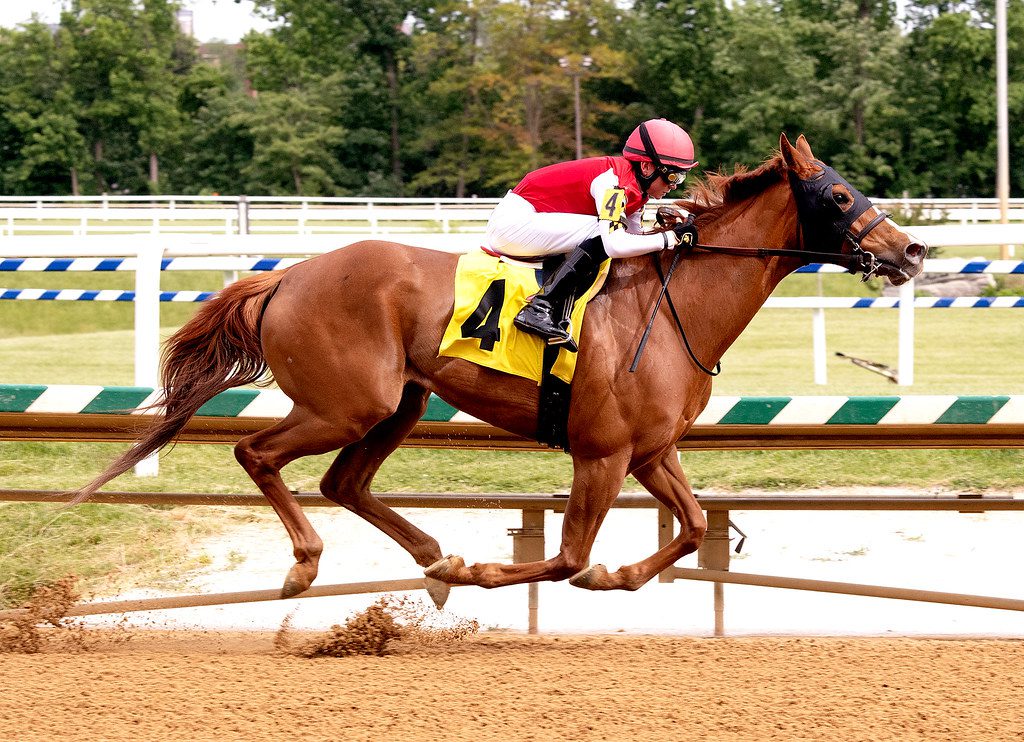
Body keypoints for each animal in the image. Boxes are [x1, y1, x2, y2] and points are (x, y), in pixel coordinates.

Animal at [70, 135, 921, 605]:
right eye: (839, 194)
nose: (910, 250)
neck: (676, 300)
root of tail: (286, 277)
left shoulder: (651, 451)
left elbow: (695, 526)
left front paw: (616, 577)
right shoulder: (602, 453)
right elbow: (568, 556)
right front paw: (495, 572)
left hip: (398, 406)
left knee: (345, 483)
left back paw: (432, 557)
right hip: (347, 404)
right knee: (257, 453)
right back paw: (309, 565)